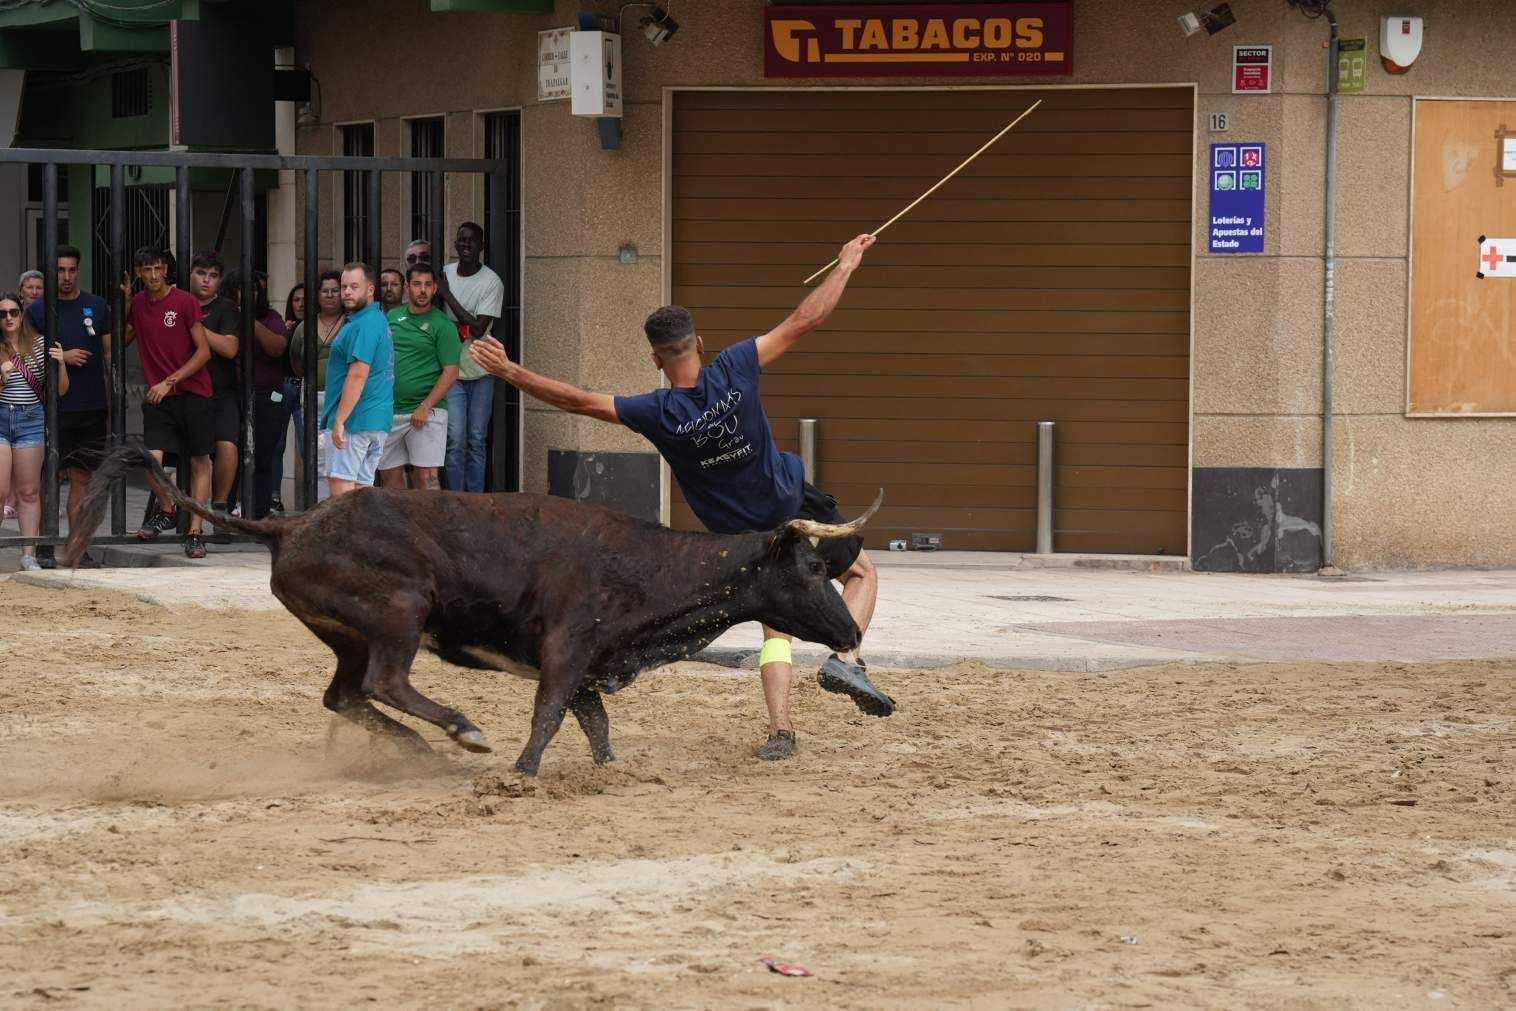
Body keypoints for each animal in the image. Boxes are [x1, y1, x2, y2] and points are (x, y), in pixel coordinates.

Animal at [65, 442, 885, 776]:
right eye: (811, 567)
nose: (849, 631)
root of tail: (291, 524)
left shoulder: (590, 665)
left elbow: (595, 725)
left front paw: (611, 770)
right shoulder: (566, 650)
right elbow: (549, 715)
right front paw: (519, 770)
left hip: (347, 632)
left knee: (345, 694)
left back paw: (422, 748)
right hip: (400, 609)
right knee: (384, 682)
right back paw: (463, 733)